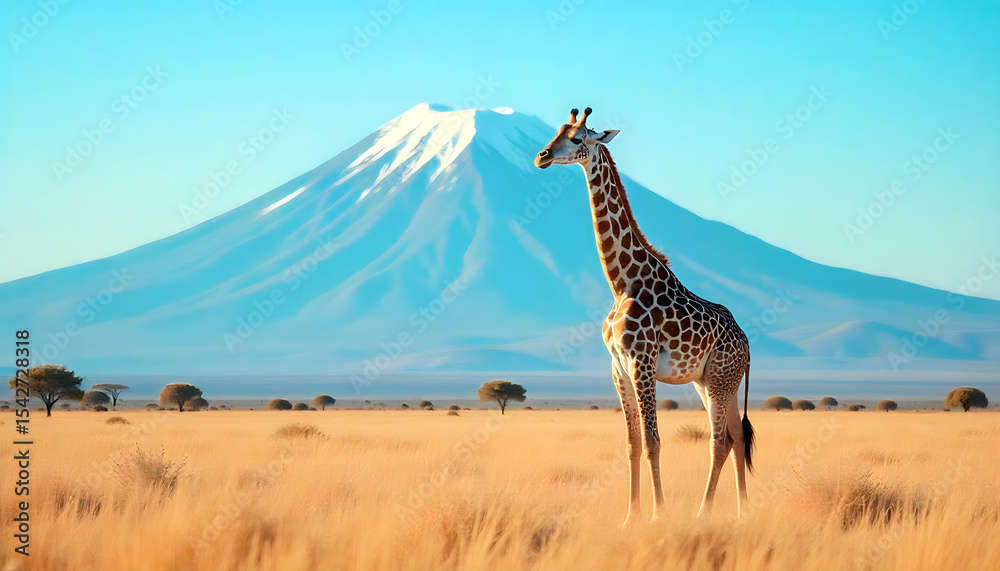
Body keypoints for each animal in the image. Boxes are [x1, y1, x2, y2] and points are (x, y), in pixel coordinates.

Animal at [534, 107, 755, 524]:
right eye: (556, 131)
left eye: (577, 139)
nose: (541, 156)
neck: (621, 283)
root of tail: (748, 345)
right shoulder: (618, 367)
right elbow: (632, 443)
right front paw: (629, 516)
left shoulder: (642, 361)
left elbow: (653, 442)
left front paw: (657, 514)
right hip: (712, 382)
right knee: (736, 436)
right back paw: (742, 511)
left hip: (720, 380)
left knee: (719, 441)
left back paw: (703, 512)